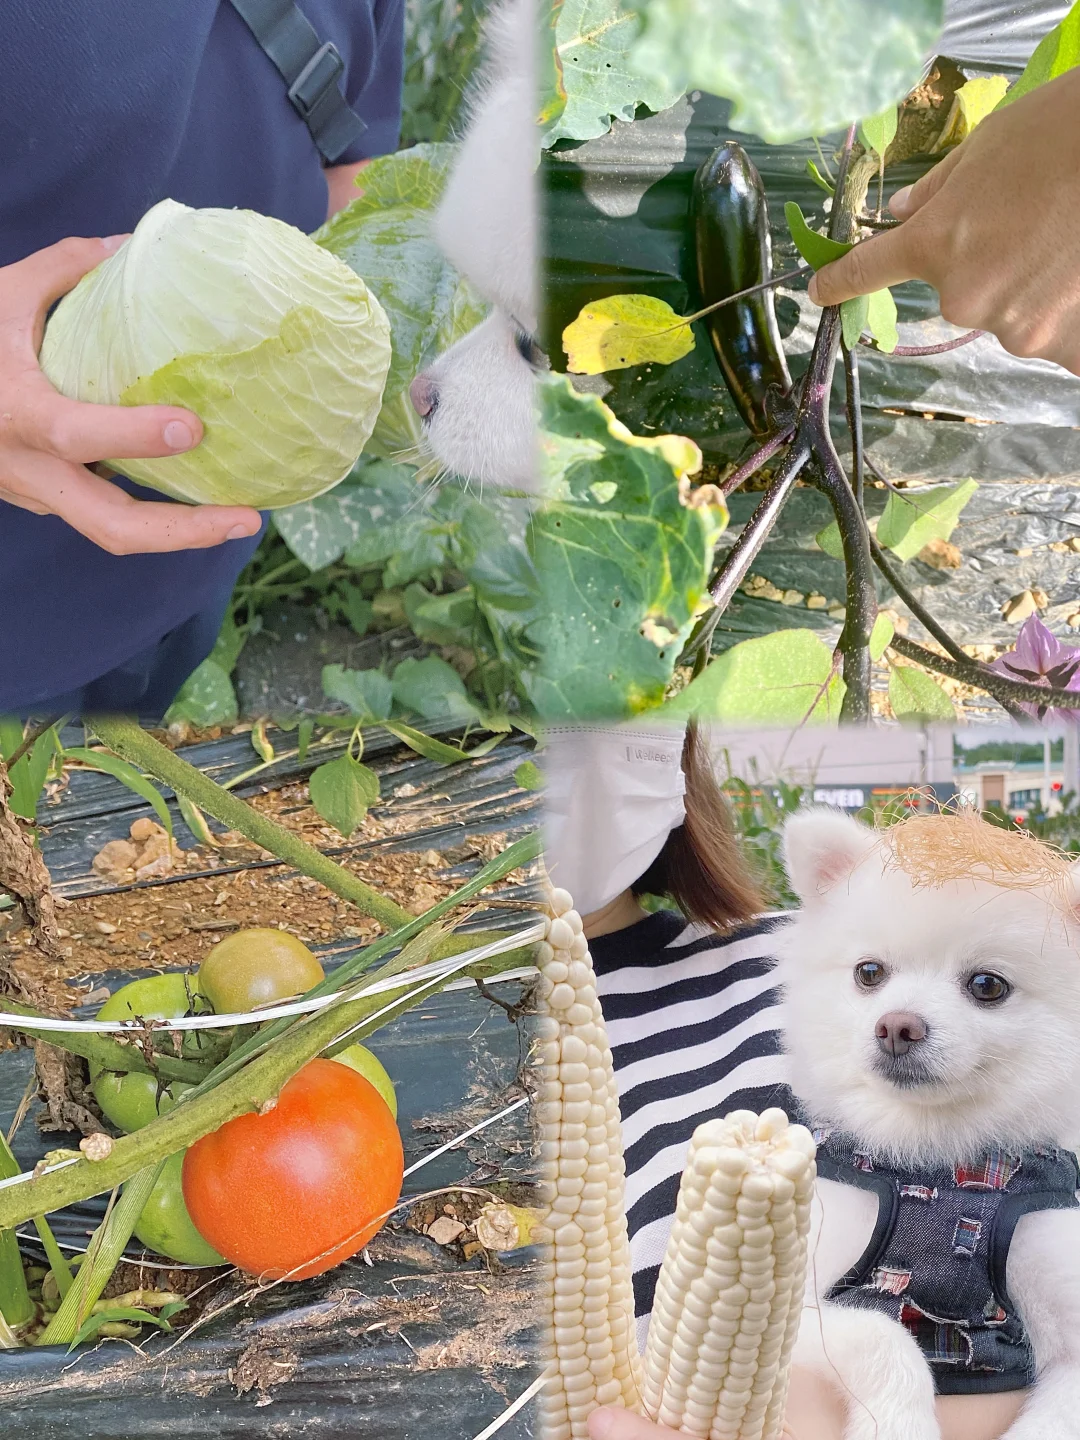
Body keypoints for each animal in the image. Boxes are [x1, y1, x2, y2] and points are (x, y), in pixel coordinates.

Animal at [777, 812, 1080, 1440]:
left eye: (987, 985)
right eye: (869, 973)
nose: (898, 1025)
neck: (939, 1162)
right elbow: (887, 1335)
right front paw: (899, 1425)